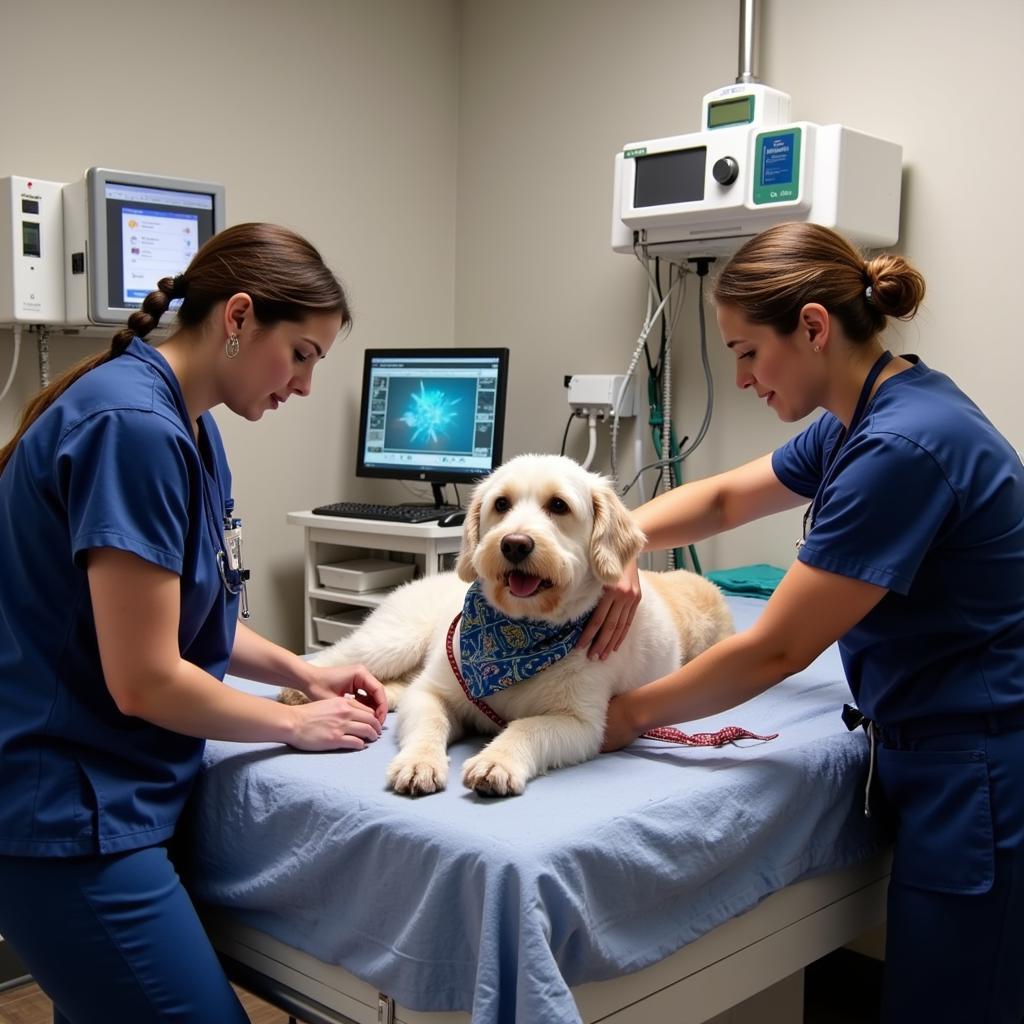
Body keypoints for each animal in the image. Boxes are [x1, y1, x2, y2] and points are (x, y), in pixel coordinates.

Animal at [278, 456, 729, 798]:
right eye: (501, 503)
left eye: (559, 506)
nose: (514, 543)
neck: (514, 638)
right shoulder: (435, 692)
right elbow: (429, 724)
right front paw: (419, 762)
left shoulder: (581, 724)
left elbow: (526, 728)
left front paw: (497, 760)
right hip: (394, 641)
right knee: (336, 658)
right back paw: (301, 691)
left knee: (392, 685)